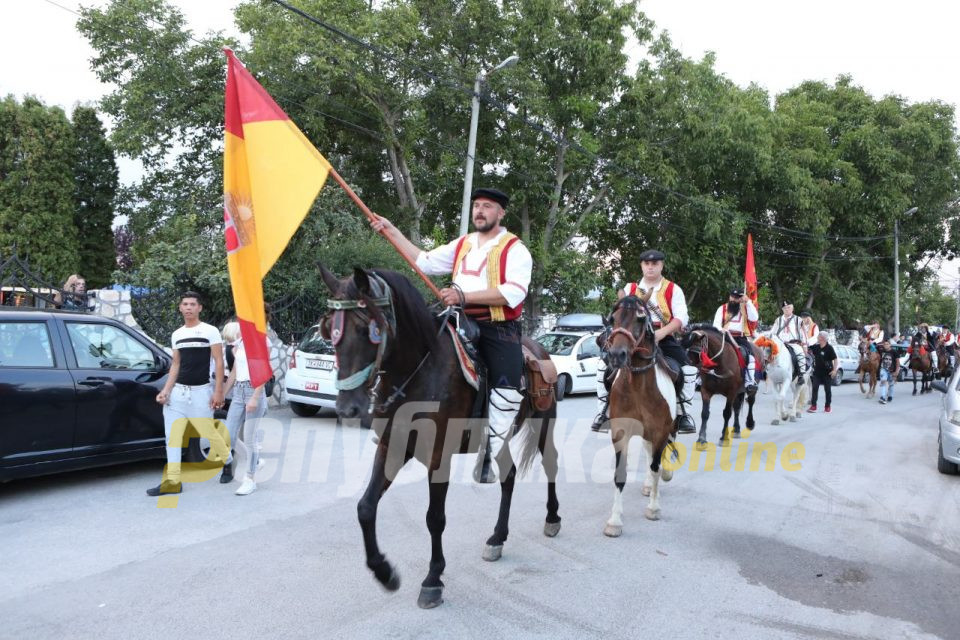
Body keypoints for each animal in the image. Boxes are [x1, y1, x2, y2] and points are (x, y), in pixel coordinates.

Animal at [318, 266, 560, 608]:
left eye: (369, 330)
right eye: (330, 331)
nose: (346, 407)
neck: (419, 371)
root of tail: (538, 349)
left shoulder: (438, 456)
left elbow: (435, 518)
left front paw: (433, 578)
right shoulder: (393, 447)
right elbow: (365, 507)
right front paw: (384, 572)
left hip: (543, 424)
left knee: (550, 465)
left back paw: (552, 518)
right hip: (498, 439)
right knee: (509, 476)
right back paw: (497, 537)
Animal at [604, 292, 680, 536]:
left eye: (640, 318)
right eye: (613, 318)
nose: (617, 355)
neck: (637, 388)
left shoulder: (660, 431)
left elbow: (656, 467)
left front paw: (654, 508)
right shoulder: (620, 433)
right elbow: (620, 474)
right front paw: (614, 521)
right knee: (648, 452)